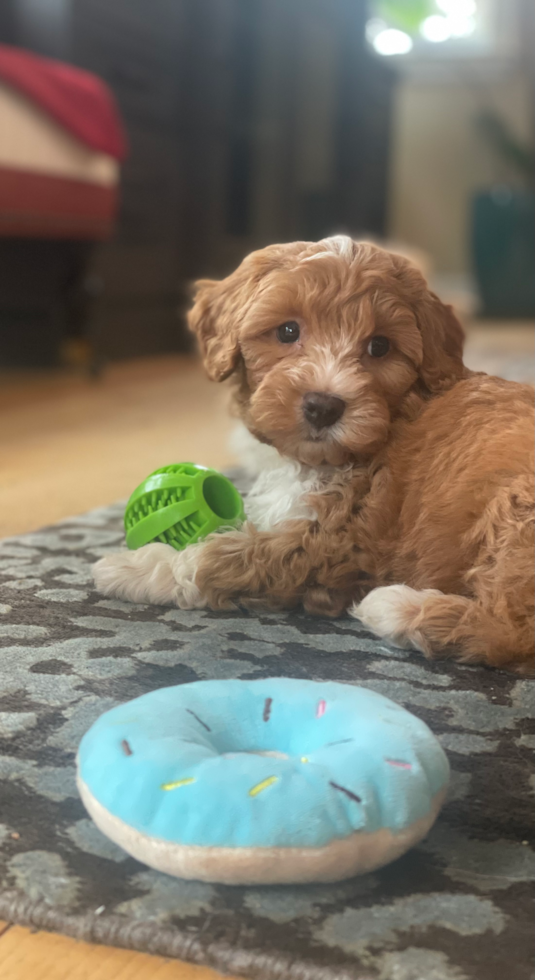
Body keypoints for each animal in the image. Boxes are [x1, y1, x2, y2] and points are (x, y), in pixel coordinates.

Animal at [96, 237, 535, 672]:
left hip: (520, 508)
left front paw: (136, 566)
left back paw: (396, 609)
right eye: (287, 330)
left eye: (380, 346)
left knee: (507, 631)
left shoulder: (340, 540)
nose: (323, 406)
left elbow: (226, 555)